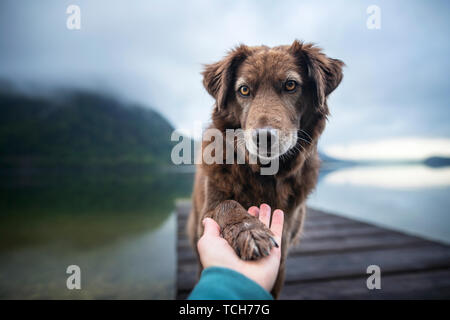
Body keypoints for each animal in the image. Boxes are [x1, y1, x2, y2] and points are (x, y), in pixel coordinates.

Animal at [186, 40, 344, 298]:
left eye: (290, 85)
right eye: (244, 90)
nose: (264, 138)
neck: (264, 174)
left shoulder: (284, 249)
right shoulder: (209, 209)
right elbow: (227, 205)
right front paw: (249, 231)